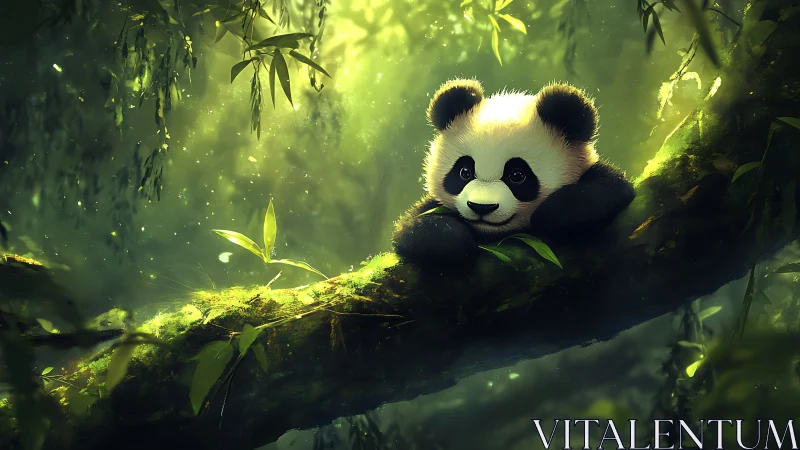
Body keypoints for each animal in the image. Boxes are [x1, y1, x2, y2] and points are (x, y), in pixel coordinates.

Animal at [392, 78, 636, 266]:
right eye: (464, 172)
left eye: (517, 175)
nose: (481, 207)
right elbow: (411, 226)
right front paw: (451, 238)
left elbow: (608, 190)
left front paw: (550, 214)